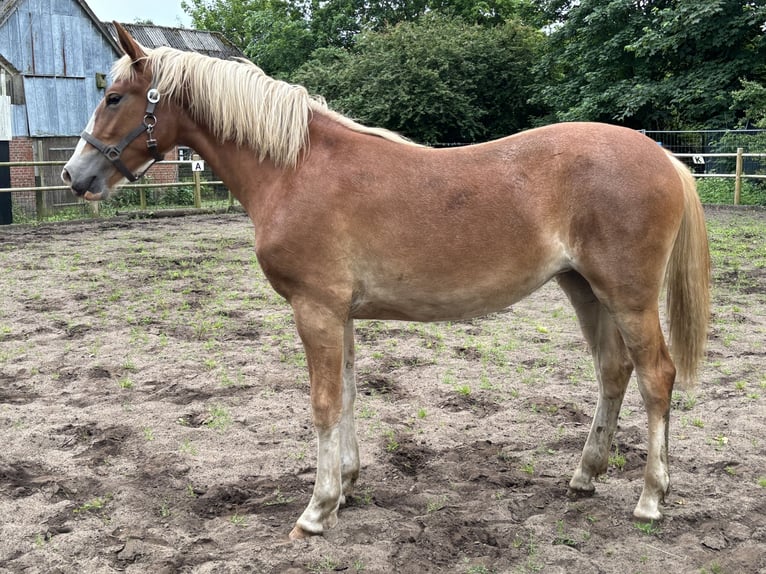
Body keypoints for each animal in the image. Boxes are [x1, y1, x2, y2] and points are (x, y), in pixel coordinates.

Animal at [63, 22, 712, 544]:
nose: (75, 175)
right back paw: (583, 476)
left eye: (114, 97)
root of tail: (663, 157)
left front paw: (316, 511)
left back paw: (650, 498)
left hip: (627, 295)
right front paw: (346, 487)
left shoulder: (316, 309)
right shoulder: (339, 313)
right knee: (613, 371)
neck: (296, 169)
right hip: (584, 288)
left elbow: (324, 403)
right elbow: (349, 395)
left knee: (656, 376)